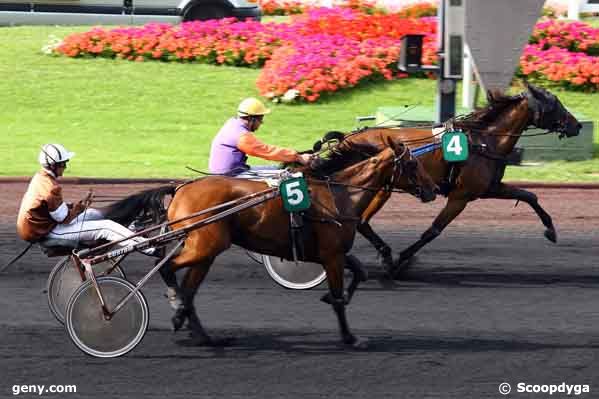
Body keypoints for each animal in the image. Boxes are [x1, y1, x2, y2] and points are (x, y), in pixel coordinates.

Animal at [106, 139, 436, 348]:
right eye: (412, 164)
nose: (433, 189)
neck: (339, 195)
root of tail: (180, 189)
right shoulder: (331, 255)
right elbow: (340, 295)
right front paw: (350, 337)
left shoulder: (332, 253)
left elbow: (359, 274)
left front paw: (335, 300)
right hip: (205, 246)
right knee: (167, 269)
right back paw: (175, 306)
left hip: (205, 251)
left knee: (189, 289)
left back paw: (202, 334)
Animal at [316, 84, 584, 278]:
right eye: (555, 104)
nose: (577, 125)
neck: (484, 140)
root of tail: (348, 138)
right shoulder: (460, 196)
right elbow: (434, 230)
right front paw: (402, 260)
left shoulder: (490, 188)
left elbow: (529, 195)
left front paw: (550, 230)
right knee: (360, 220)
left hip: (383, 187)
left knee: (362, 222)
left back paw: (384, 254)